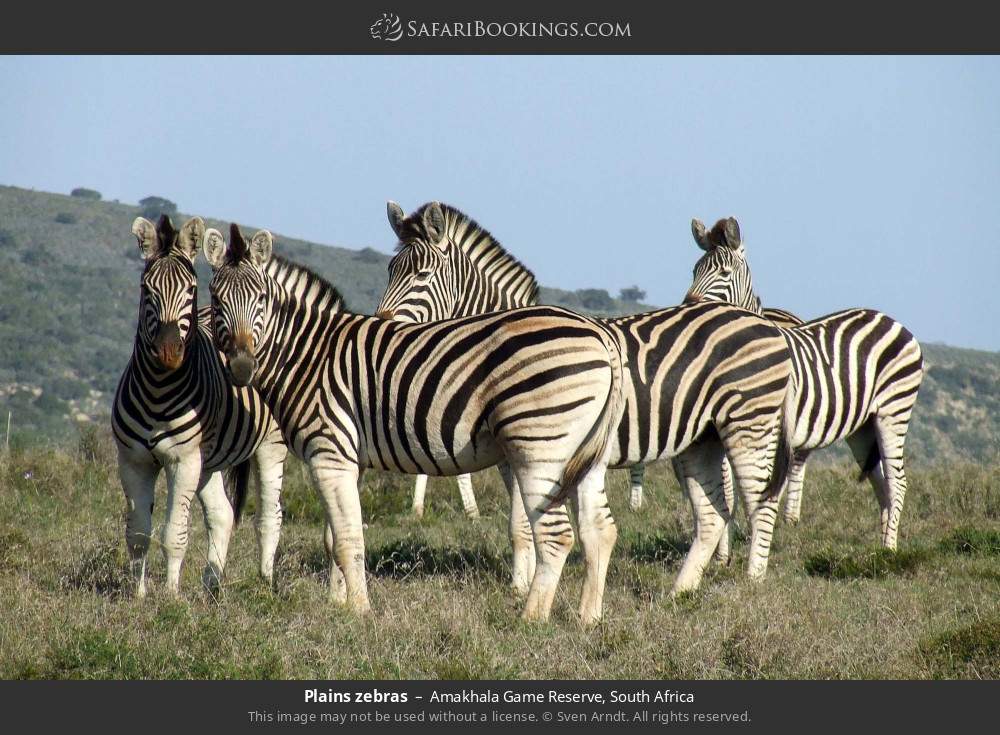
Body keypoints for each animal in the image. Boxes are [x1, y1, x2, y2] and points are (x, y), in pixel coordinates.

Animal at [112, 215, 288, 597]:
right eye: (146, 289)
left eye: (191, 289)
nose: (168, 352)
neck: (157, 390)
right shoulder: (133, 461)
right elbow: (137, 533)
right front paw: (138, 595)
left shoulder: (183, 460)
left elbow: (173, 533)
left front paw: (170, 595)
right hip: (209, 462)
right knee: (222, 515)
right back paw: (212, 584)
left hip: (269, 446)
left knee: (269, 516)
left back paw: (265, 582)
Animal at [372, 203, 800, 596]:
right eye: (390, 271)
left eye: (422, 275)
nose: (382, 325)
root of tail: (768, 325)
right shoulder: (517, 453)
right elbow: (520, 523)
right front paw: (524, 582)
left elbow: (525, 521)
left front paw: (524, 588)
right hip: (708, 435)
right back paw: (685, 588)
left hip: (749, 422)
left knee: (761, 501)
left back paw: (752, 580)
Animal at [685, 216, 924, 549]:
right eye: (693, 271)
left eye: (724, 273)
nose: (688, 305)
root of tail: (890, 319)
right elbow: (728, 493)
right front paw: (723, 554)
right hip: (863, 427)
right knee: (880, 480)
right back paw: (880, 545)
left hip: (894, 410)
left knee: (897, 480)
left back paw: (890, 549)